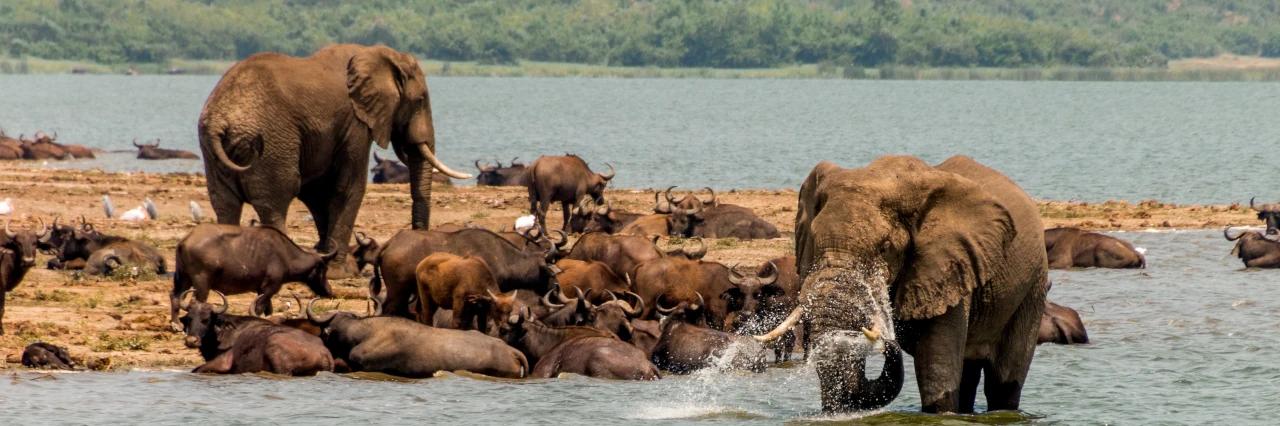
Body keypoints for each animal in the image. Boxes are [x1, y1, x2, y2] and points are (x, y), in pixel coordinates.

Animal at [197, 44, 471, 277]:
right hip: (271, 143)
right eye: (420, 100)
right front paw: (342, 271)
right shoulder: (355, 124)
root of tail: (220, 120)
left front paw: (328, 260)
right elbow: (348, 187)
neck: (377, 54)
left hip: (213, 151)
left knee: (225, 204)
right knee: (275, 202)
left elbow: (319, 192)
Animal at [757, 155, 1048, 414]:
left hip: (1033, 286)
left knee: (1003, 383)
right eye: (814, 241)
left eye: (885, 247)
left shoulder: (948, 266)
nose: (888, 342)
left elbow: (936, 370)